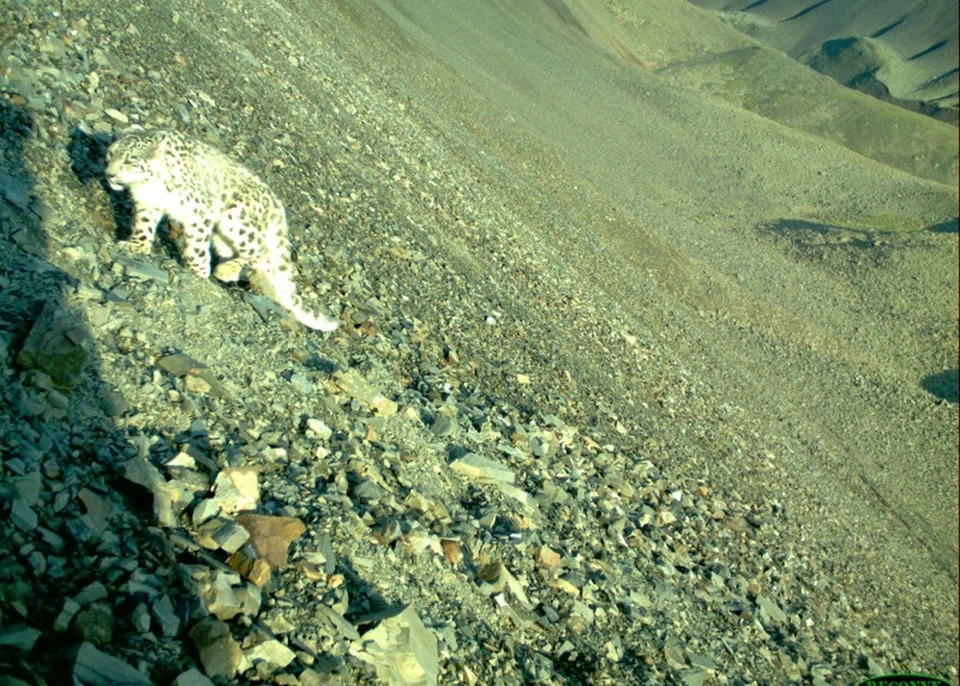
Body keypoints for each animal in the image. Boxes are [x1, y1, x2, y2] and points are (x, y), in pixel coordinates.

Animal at [104, 131, 338, 334]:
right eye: (110, 153)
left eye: (130, 160)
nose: (109, 174)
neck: (150, 186)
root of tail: (278, 208)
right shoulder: (147, 204)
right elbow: (143, 226)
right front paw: (136, 246)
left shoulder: (200, 211)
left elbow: (196, 247)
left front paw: (198, 272)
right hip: (222, 239)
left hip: (237, 219)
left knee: (261, 254)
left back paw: (226, 270)